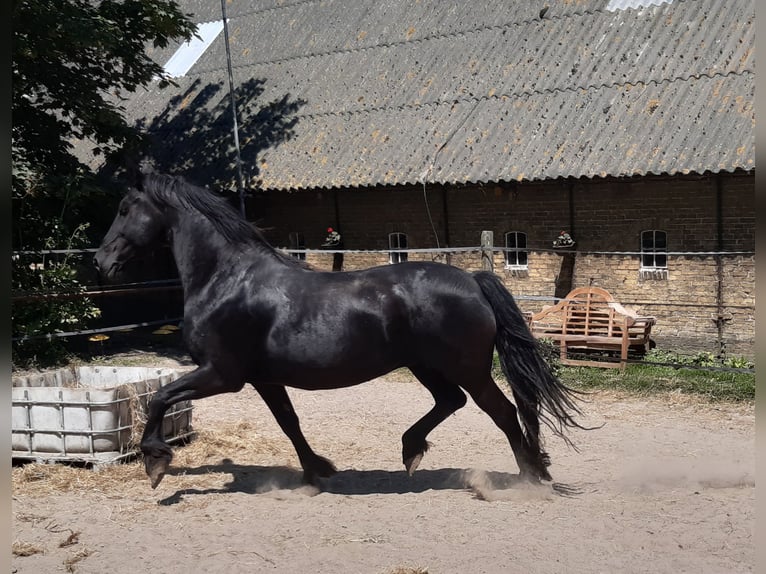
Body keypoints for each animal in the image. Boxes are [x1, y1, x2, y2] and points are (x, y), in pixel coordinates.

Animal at [96, 171, 588, 490]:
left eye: (123, 209)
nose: (101, 261)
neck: (226, 279)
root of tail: (473, 281)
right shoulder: (264, 379)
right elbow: (289, 422)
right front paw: (317, 470)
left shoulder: (222, 375)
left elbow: (159, 398)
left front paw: (156, 462)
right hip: (426, 367)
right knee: (452, 402)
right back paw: (412, 450)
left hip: (466, 369)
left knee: (502, 412)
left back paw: (529, 477)